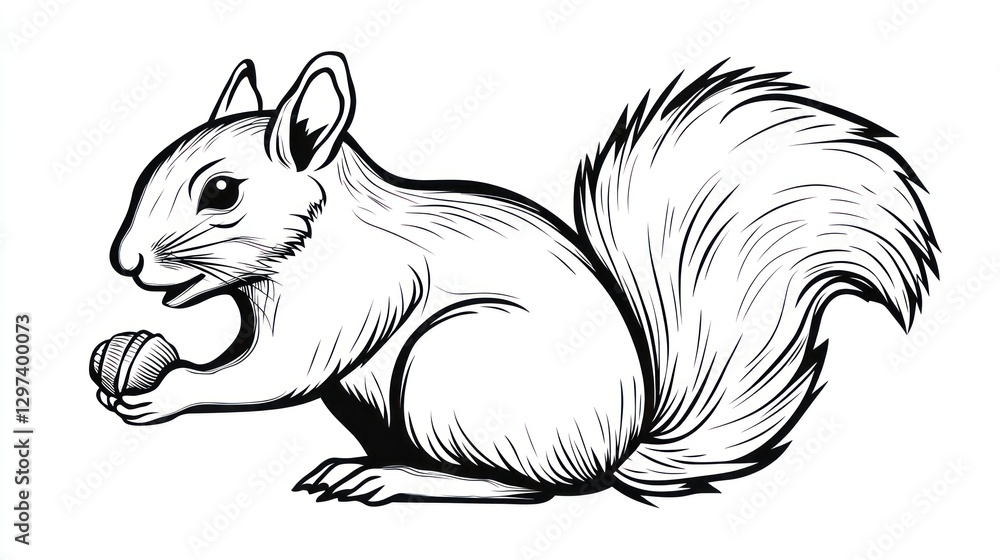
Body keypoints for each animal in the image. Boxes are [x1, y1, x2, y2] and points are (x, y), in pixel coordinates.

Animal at [94, 52, 938, 505]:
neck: (325, 233)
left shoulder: (353, 292)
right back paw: (371, 464)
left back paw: (398, 480)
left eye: (221, 192)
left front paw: (166, 390)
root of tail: (616, 449)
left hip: (456, 367)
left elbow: (279, 370)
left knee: (529, 487)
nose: (124, 262)